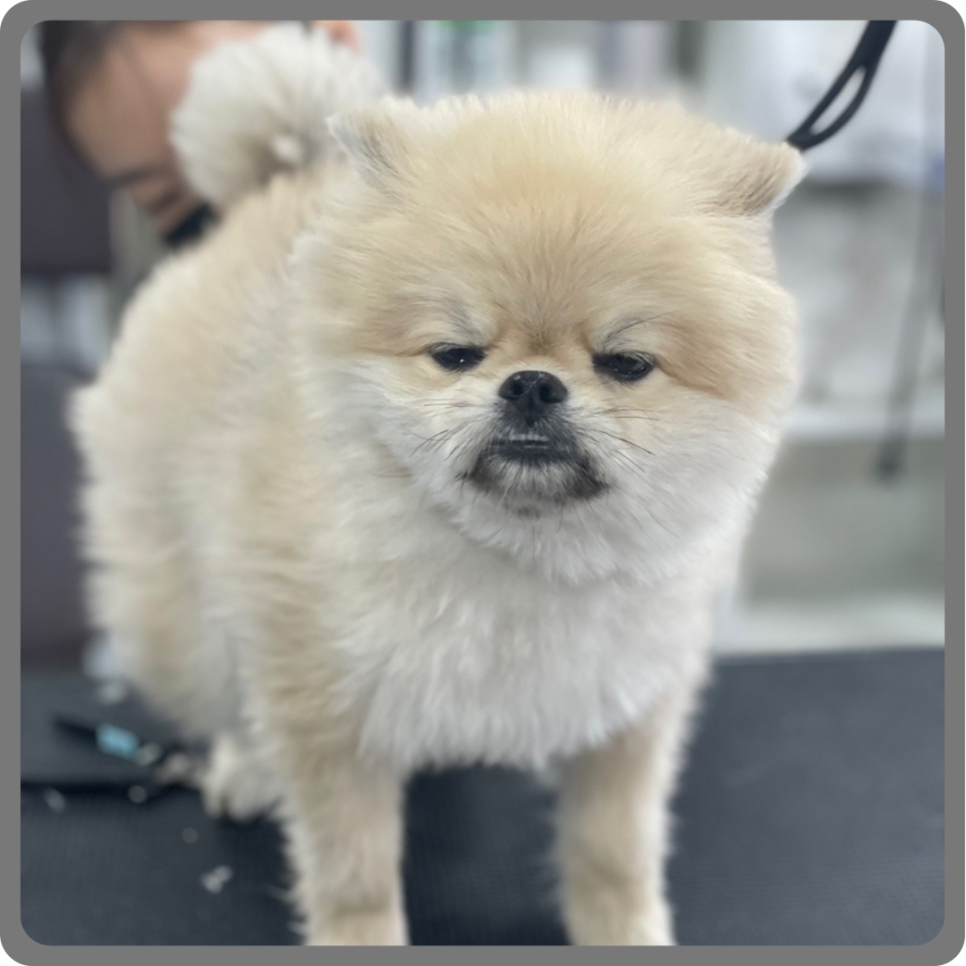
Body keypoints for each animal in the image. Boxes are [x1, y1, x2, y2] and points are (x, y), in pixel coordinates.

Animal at [71, 24, 804, 946]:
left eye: (626, 363)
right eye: (455, 353)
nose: (532, 384)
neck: (516, 550)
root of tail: (280, 184)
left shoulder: (629, 709)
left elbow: (614, 847)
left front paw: (627, 931)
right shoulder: (326, 707)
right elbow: (351, 870)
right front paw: (360, 940)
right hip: (182, 613)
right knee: (222, 689)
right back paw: (243, 767)